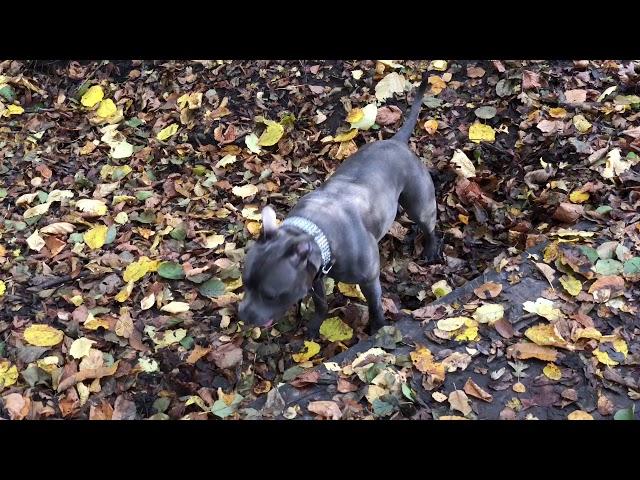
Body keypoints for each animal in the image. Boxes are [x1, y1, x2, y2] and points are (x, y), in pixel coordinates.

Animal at [240, 73, 440, 338]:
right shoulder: (314, 277)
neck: (313, 231)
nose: (242, 315)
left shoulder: (369, 279)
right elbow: (321, 303)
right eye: (244, 283)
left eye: (270, 295)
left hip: (420, 204)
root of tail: (397, 143)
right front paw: (315, 325)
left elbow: (375, 305)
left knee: (428, 225)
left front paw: (378, 329)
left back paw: (430, 248)